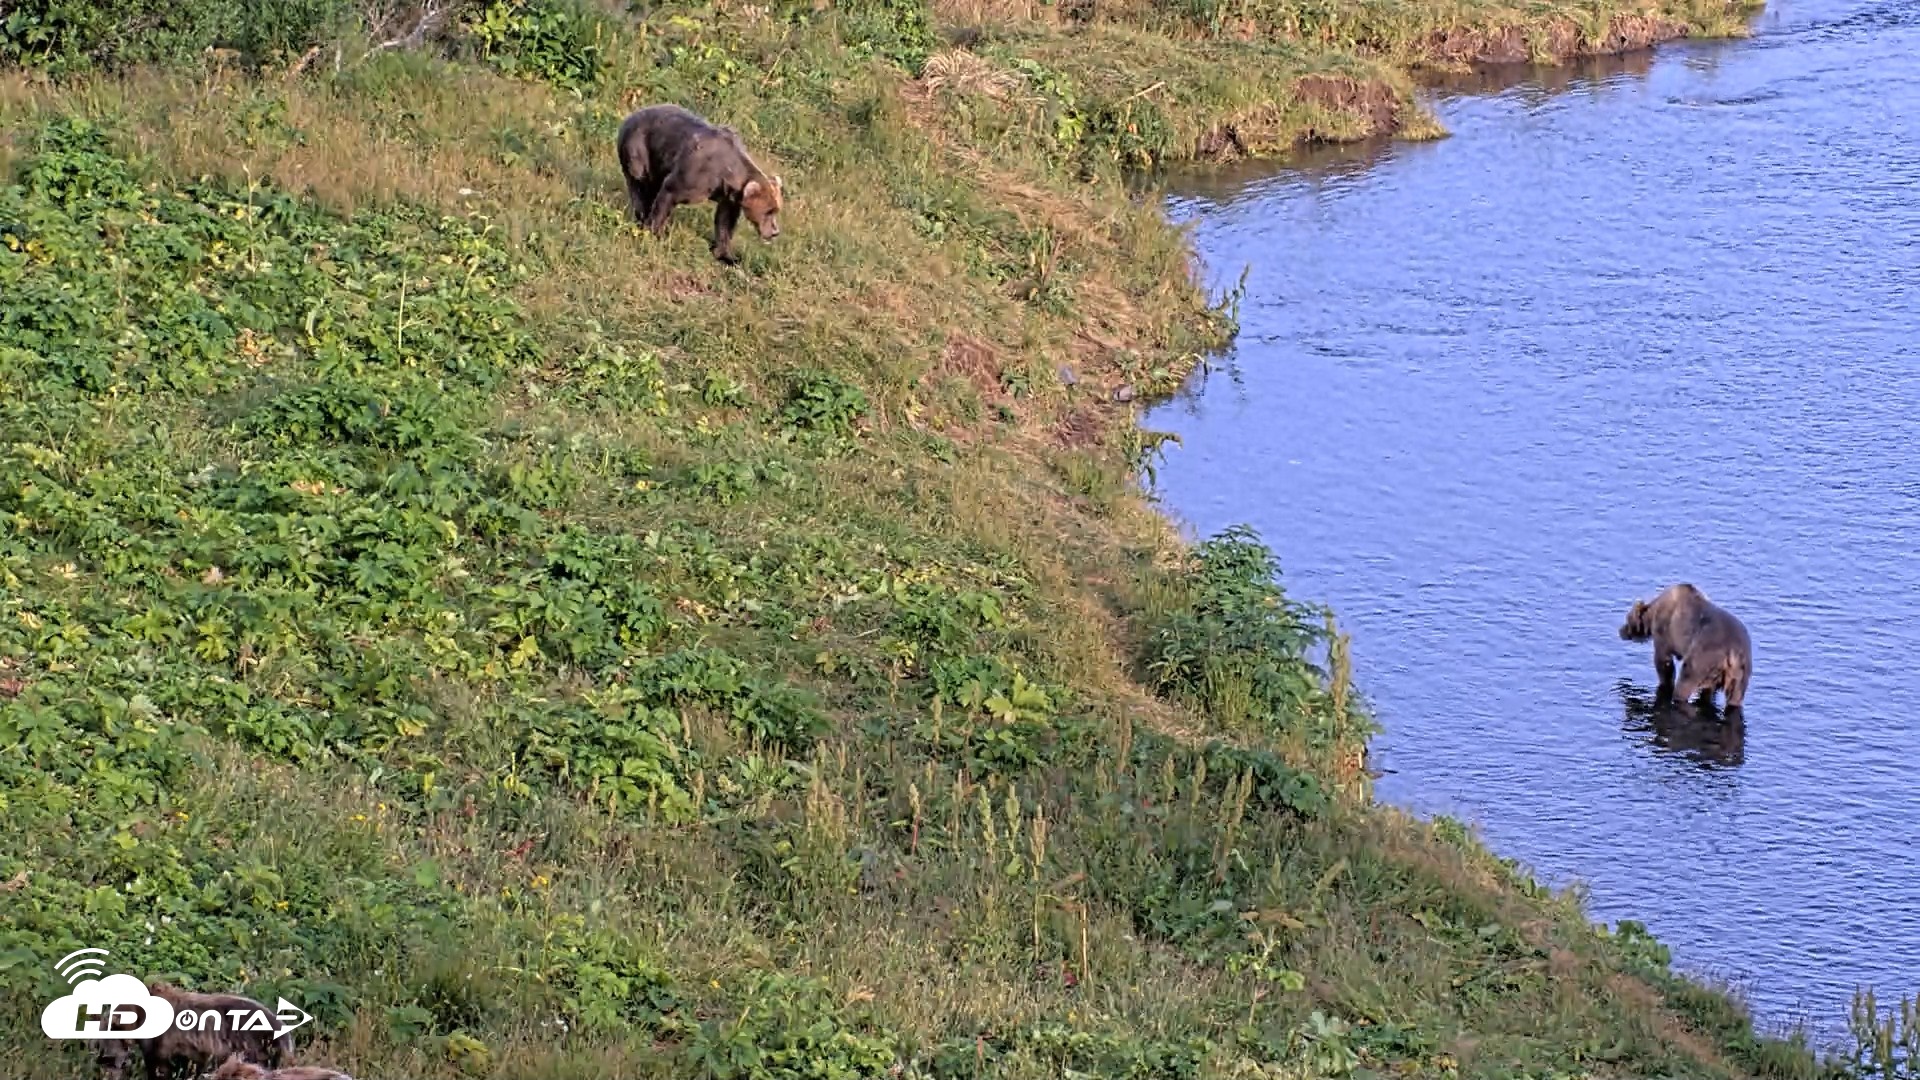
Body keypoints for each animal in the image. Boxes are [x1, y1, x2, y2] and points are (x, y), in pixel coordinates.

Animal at [615, 103, 783, 264]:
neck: (728, 174)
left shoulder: (728, 196)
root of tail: (629, 116)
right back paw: (642, 218)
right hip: (639, 150)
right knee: (640, 185)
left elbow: (725, 221)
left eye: (776, 209)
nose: (775, 232)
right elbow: (668, 194)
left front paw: (727, 255)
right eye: (768, 211)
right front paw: (654, 233)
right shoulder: (693, 174)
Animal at [1618, 582, 1752, 712]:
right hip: (1740, 672)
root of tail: (1733, 652)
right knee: (1735, 698)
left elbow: (1664, 663)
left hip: (1703, 656)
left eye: (1627, 618)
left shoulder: (1664, 633)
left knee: (1685, 682)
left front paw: (1665, 684)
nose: (1620, 630)